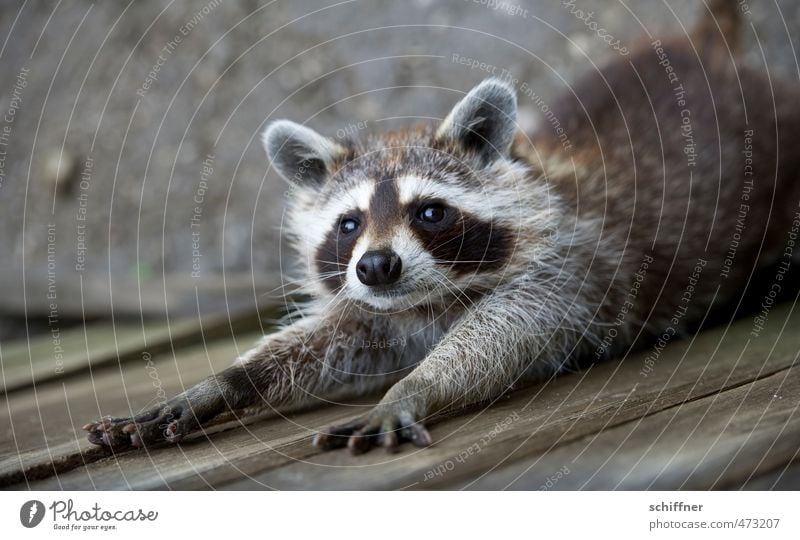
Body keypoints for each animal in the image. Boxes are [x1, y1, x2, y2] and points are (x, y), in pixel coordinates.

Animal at [84, 0, 800, 454]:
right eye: (348, 224)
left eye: (430, 212)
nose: (377, 266)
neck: (427, 300)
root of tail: (706, 51)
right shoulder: (379, 307)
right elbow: (332, 341)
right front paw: (226, 382)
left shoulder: (568, 271)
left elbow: (504, 335)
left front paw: (415, 385)